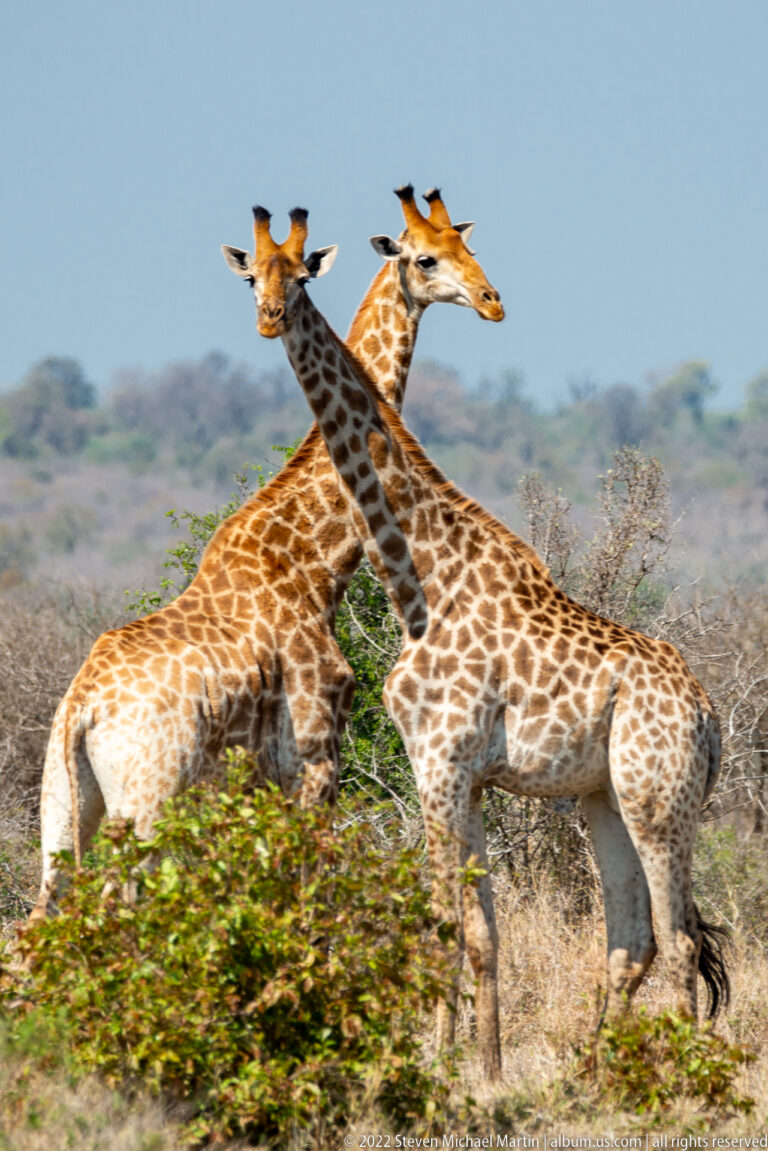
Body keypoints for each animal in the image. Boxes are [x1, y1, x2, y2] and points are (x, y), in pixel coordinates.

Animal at [30, 186, 503, 922]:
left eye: (468, 247)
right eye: (426, 258)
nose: (490, 300)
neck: (311, 559)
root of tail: (82, 710)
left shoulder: (259, 782)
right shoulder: (314, 752)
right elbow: (305, 892)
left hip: (62, 805)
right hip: (148, 798)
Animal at [244, 203, 729, 1081]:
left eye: (300, 277)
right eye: (249, 273)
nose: (269, 317)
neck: (423, 580)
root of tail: (710, 719)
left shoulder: (440, 761)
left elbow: (452, 921)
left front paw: (457, 1070)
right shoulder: (462, 775)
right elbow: (474, 922)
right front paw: (473, 1063)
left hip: (660, 798)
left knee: (678, 940)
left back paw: (672, 1082)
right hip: (605, 796)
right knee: (632, 936)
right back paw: (594, 1075)